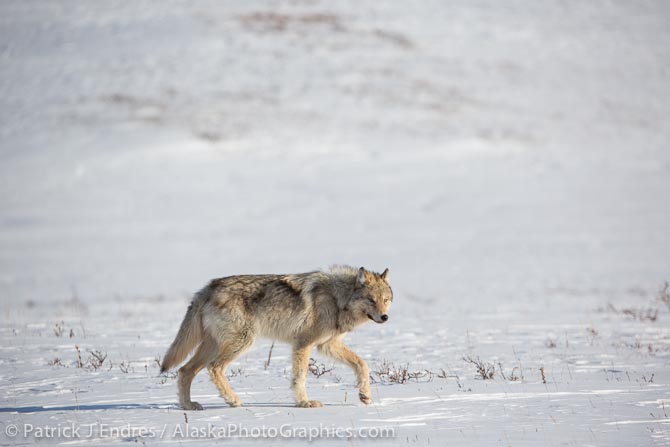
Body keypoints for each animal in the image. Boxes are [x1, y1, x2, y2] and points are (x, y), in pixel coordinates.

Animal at [162, 266, 394, 410]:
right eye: (371, 300)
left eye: (385, 300)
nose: (384, 317)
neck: (338, 300)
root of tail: (209, 287)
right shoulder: (303, 344)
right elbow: (300, 377)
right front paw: (304, 403)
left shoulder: (328, 345)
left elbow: (362, 364)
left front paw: (365, 395)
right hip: (241, 342)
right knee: (214, 368)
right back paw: (233, 400)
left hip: (213, 346)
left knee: (184, 371)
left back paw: (189, 406)